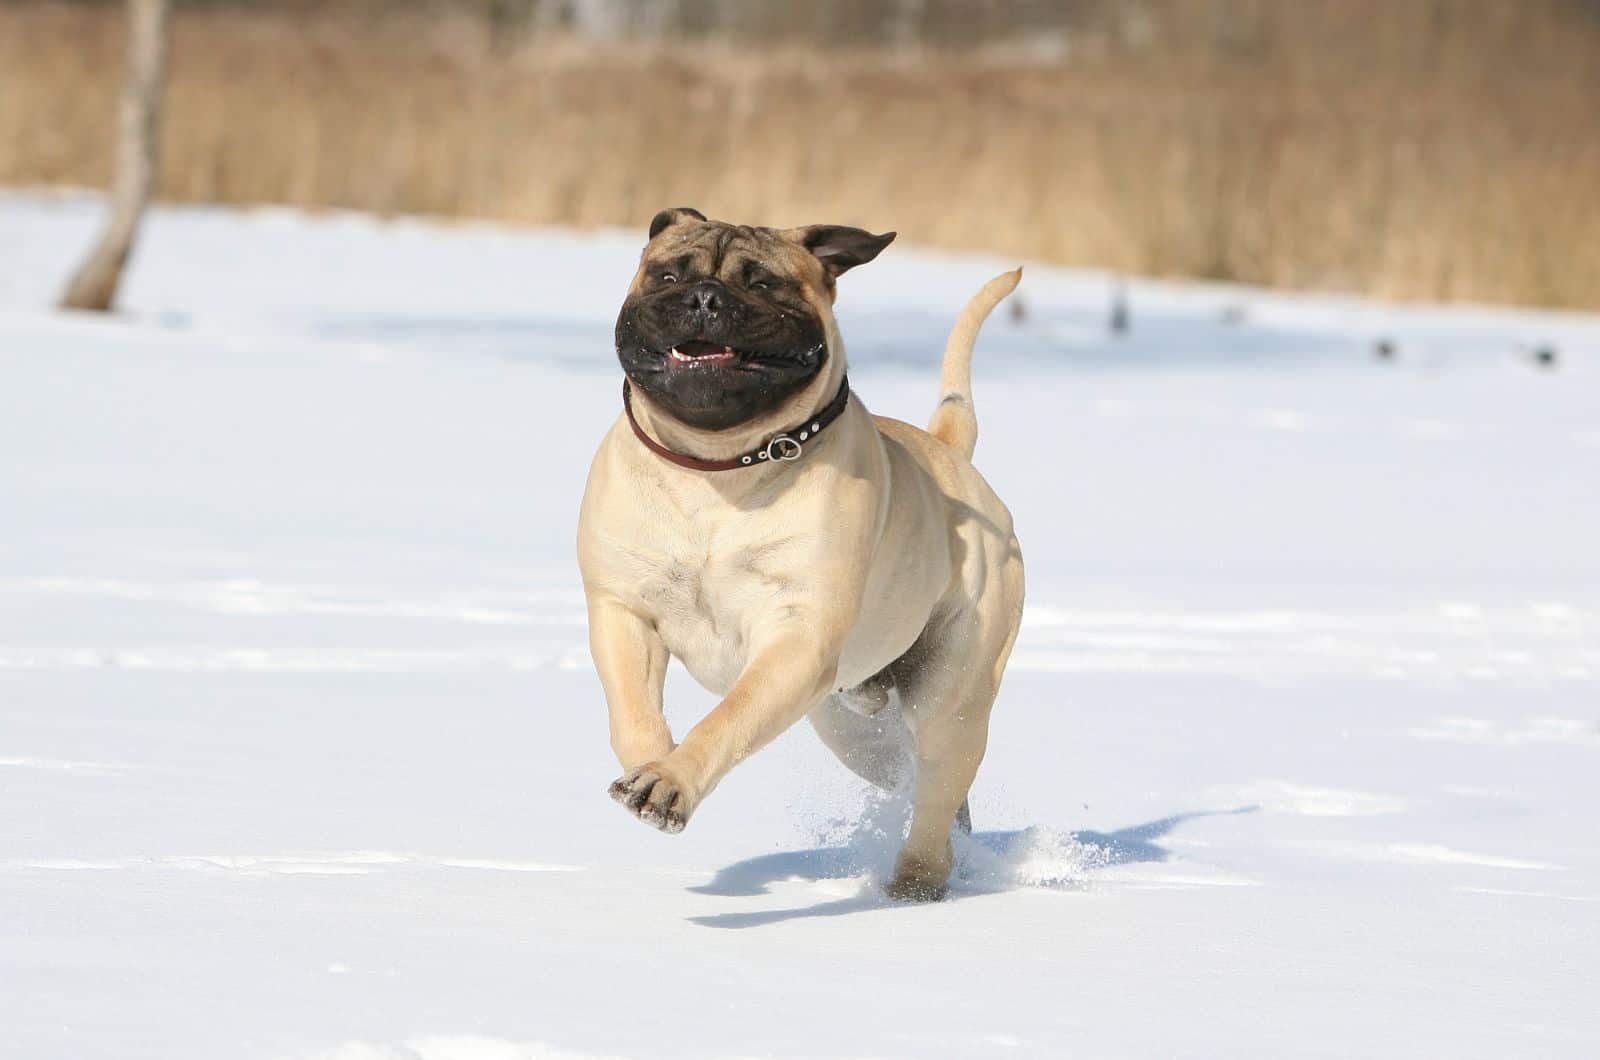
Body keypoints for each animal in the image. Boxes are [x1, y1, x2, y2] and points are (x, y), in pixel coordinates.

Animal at [579, 209, 1024, 903]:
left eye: (764, 284)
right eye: (669, 274)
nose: (705, 298)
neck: (719, 468)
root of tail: (949, 451)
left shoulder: (797, 641)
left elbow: (729, 718)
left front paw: (672, 781)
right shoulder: (622, 611)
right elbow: (631, 710)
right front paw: (649, 764)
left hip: (952, 693)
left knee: (936, 786)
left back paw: (915, 885)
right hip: (854, 731)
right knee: (924, 786)